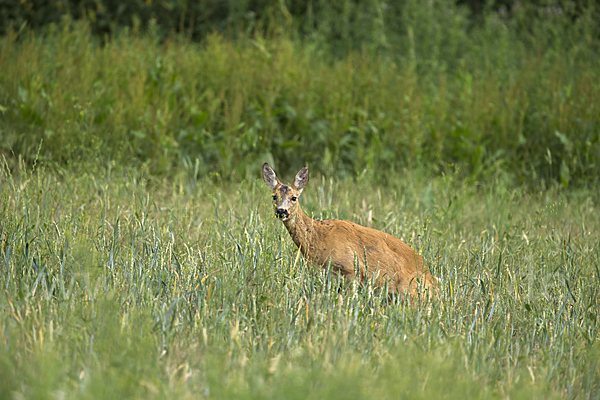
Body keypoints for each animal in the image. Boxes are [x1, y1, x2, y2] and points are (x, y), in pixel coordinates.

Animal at [260, 162, 438, 296]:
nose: (281, 211)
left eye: (294, 198)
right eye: (274, 196)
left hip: (409, 288)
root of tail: (431, 279)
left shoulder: (352, 269)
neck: (318, 239)